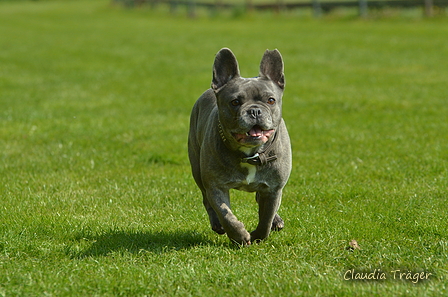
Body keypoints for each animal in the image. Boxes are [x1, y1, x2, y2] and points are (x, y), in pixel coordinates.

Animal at [188, 47, 290, 244]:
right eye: (235, 102)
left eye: (271, 100)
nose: (255, 110)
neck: (251, 154)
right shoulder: (215, 186)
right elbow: (226, 214)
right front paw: (240, 236)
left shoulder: (274, 189)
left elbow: (266, 218)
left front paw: (259, 236)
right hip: (197, 170)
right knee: (207, 201)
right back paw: (217, 224)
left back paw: (277, 220)